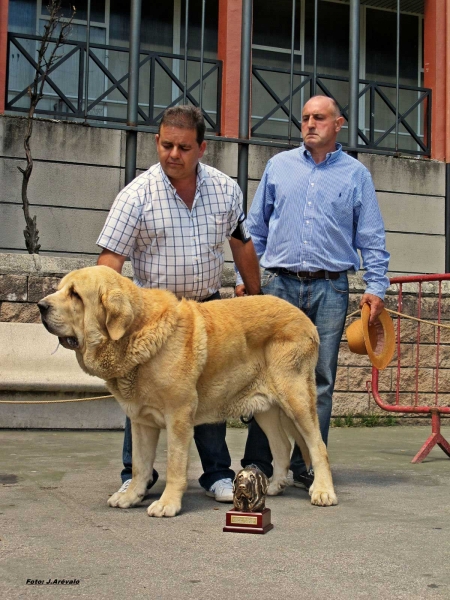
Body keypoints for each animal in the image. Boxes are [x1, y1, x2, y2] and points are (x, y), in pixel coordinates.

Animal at [37, 268, 338, 516]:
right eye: (61, 288)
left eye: (75, 294)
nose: (41, 305)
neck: (135, 334)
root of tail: (304, 318)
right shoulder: (142, 421)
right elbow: (139, 465)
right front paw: (131, 496)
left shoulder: (178, 415)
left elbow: (175, 463)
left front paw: (168, 504)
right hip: (265, 408)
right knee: (282, 445)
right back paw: (273, 486)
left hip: (296, 397)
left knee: (318, 445)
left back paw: (323, 491)